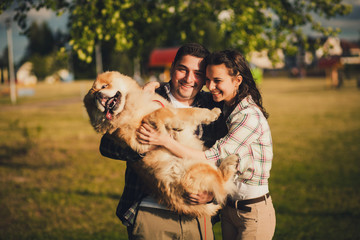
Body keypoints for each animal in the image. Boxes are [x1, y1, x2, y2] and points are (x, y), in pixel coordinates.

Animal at [83, 71, 238, 218]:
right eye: (93, 99)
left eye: (103, 86)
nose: (98, 96)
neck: (129, 106)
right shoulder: (139, 135)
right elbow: (159, 113)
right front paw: (177, 124)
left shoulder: (171, 108)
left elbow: (190, 111)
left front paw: (213, 113)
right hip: (193, 169)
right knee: (222, 184)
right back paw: (231, 162)